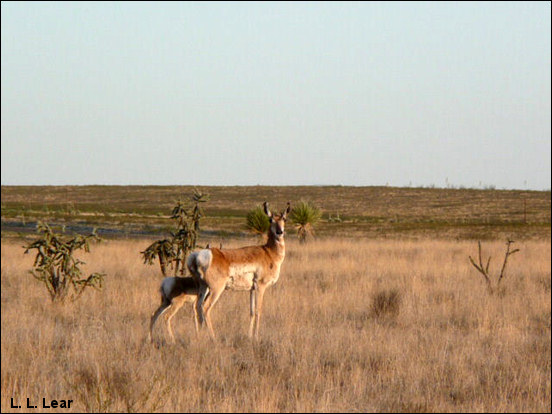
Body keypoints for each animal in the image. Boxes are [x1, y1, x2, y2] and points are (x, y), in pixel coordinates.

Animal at [188, 201, 292, 340]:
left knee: (196, 306)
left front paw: (249, 336)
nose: (279, 232)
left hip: (203, 288)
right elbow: (258, 310)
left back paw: (199, 336)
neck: (268, 252)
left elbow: (251, 312)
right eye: (270, 219)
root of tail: (202, 254)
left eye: (284, 219)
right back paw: (213, 337)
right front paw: (256, 337)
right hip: (216, 289)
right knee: (205, 307)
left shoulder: (252, 290)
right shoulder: (261, 286)